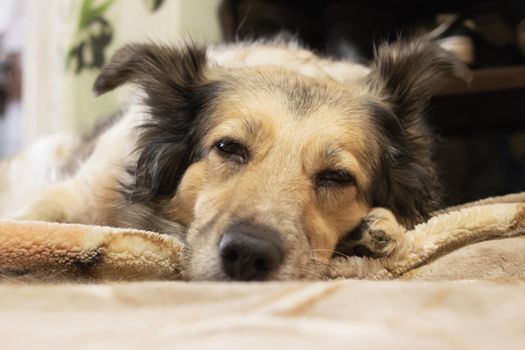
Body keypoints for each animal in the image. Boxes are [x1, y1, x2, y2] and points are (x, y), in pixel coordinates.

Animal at [2, 36, 468, 282]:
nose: (247, 257)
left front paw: (378, 230)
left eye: (337, 177)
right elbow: (34, 218)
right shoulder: (75, 192)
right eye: (228, 148)